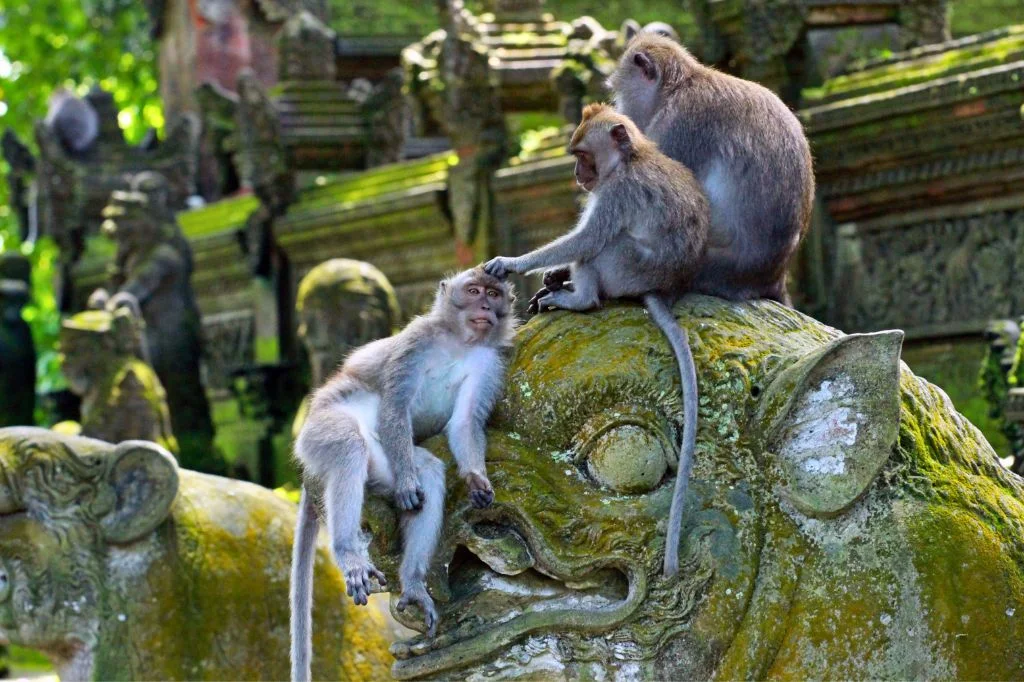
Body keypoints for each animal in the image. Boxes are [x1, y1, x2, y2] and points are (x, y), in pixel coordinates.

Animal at [290, 267, 517, 682]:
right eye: (473, 290)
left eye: (493, 293)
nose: (484, 307)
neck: (459, 342)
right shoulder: (416, 342)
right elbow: (395, 407)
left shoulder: (490, 363)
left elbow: (464, 423)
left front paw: (476, 479)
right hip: (320, 430)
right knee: (349, 446)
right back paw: (349, 553)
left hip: (386, 460)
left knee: (427, 470)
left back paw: (412, 583)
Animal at [483, 103, 709, 578]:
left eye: (583, 154)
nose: (577, 174)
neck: (630, 159)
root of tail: (662, 288)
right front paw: (550, 273)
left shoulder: (616, 194)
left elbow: (586, 238)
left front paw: (513, 263)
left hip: (625, 267)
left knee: (601, 246)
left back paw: (580, 298)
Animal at [608, 32, 815, 305]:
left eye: (619, 93)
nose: (621, 113)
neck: (678, 87)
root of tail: (774, 277)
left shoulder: (678, 125)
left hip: (708, 267)